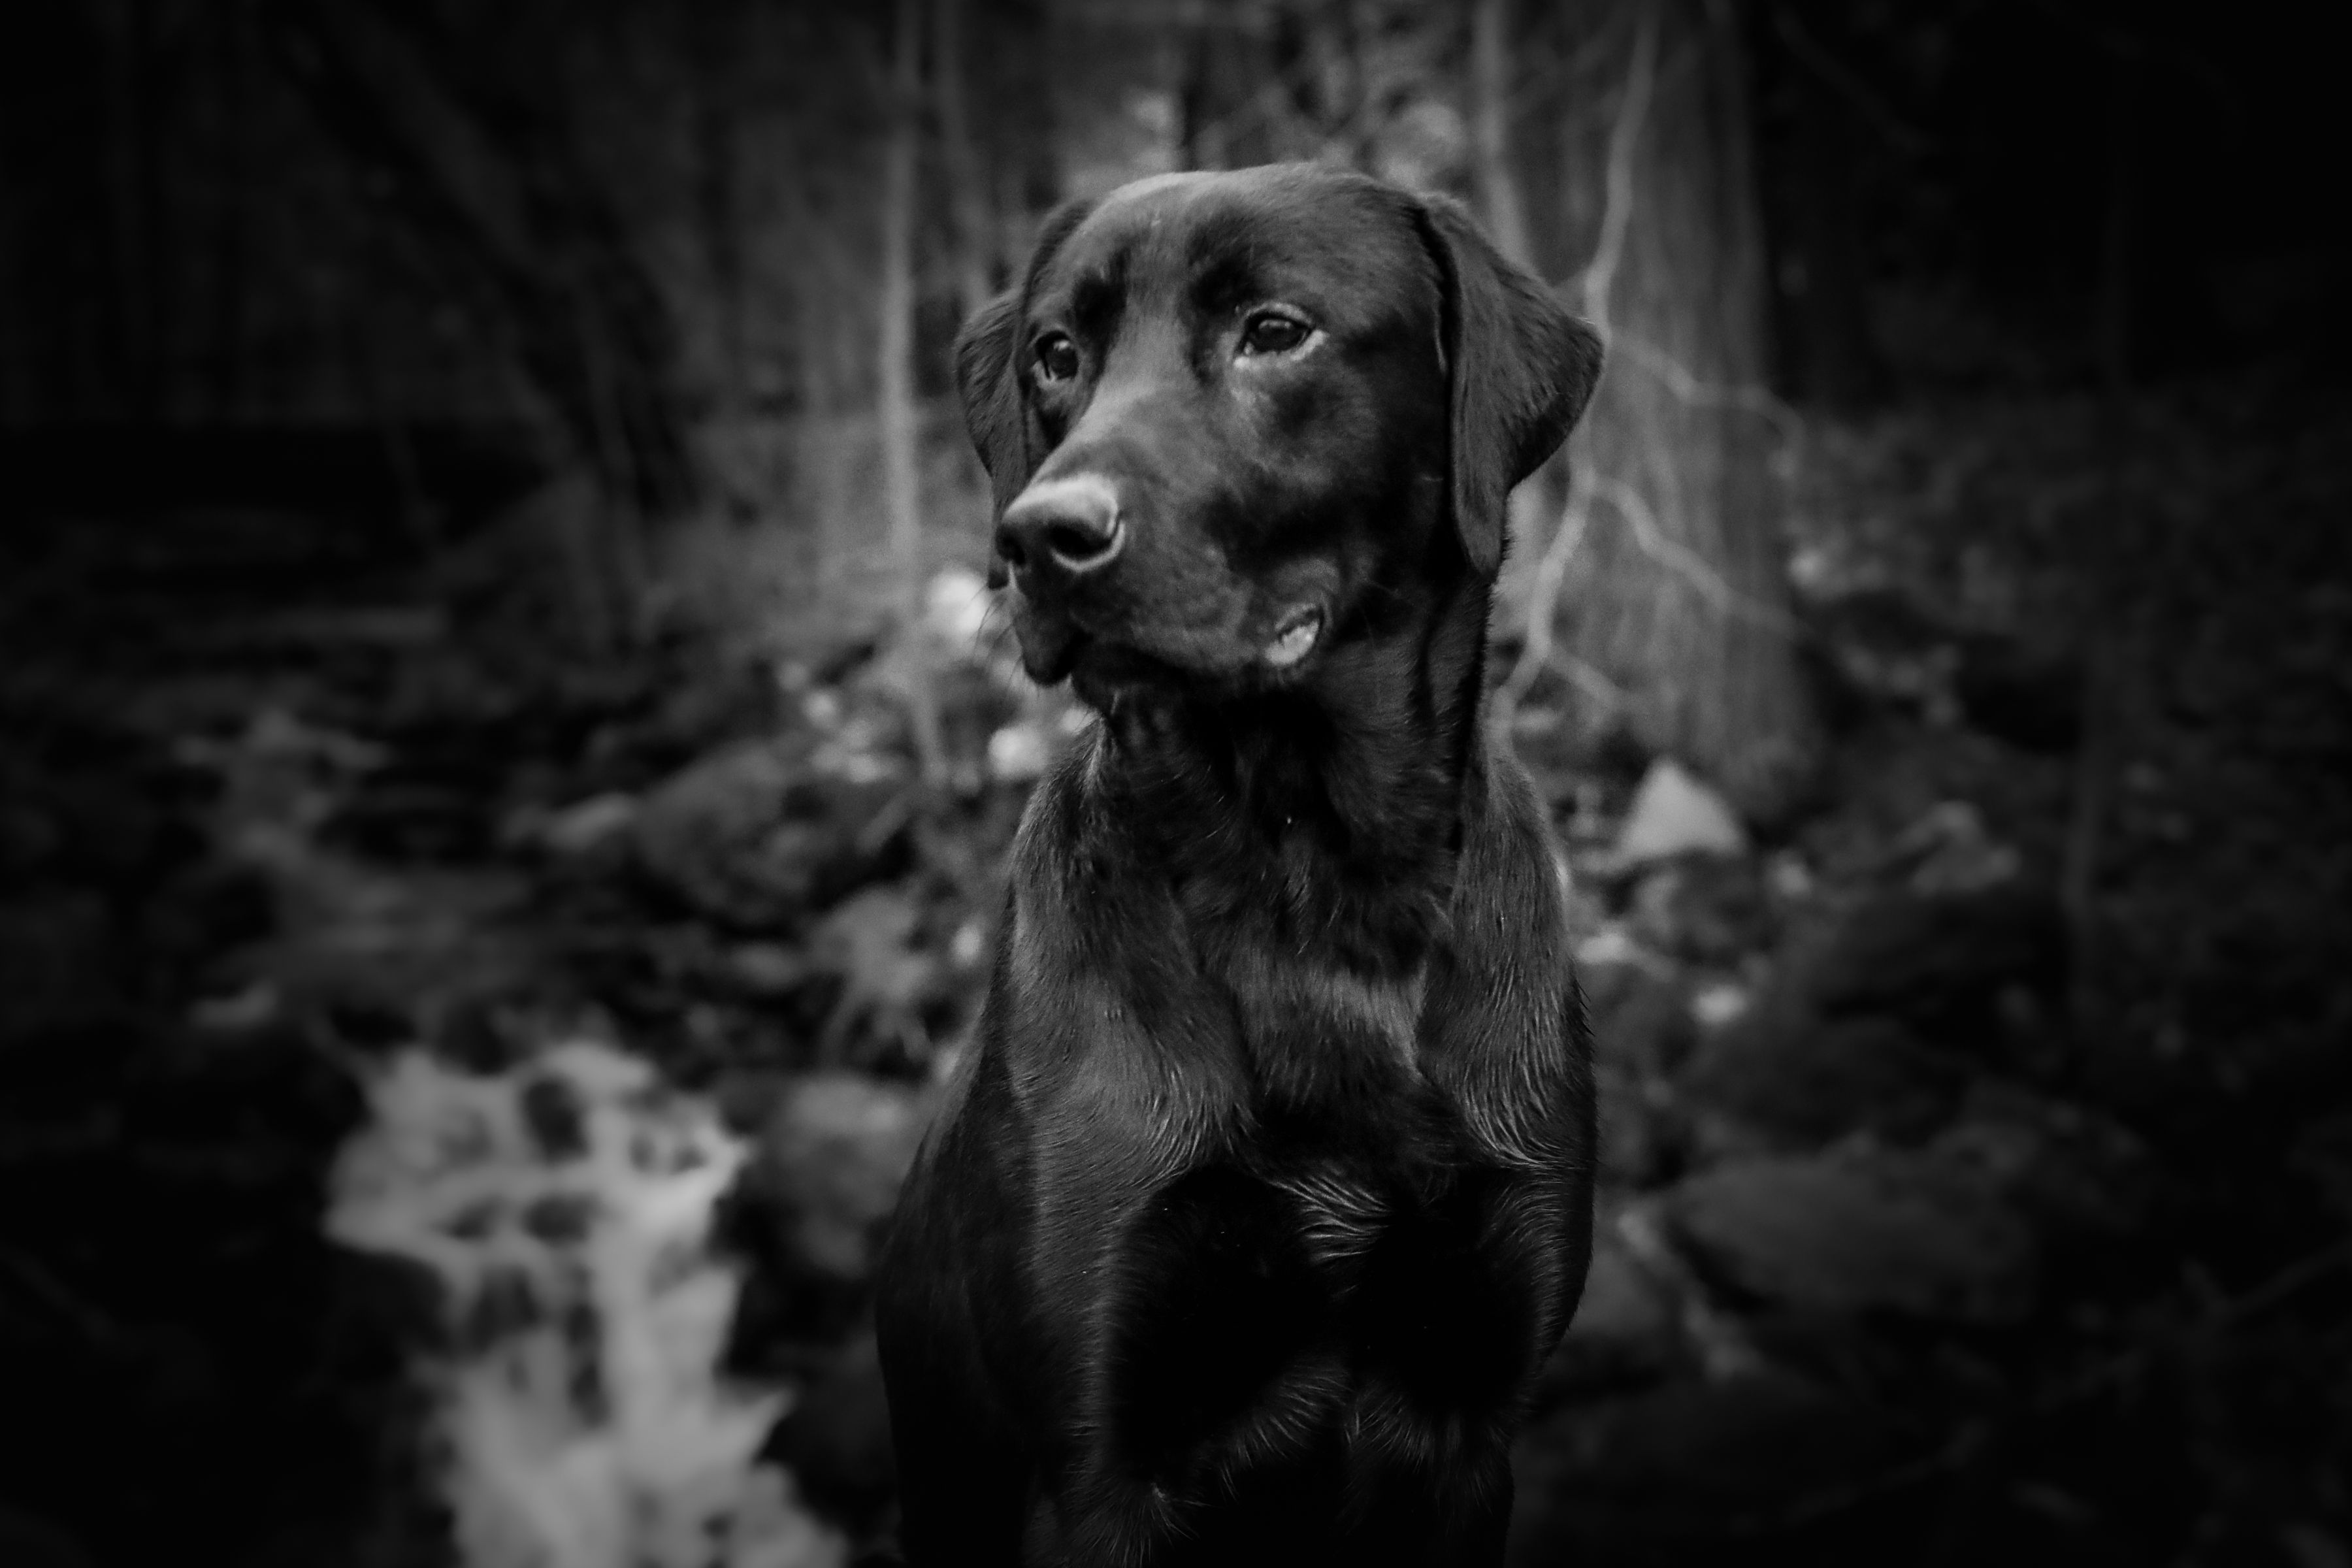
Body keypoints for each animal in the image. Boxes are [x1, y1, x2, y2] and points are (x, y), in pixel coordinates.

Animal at [875, 165, 1609, 1561]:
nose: (1040, 536)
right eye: (1057, 354)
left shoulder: (1468, 1418)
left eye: (1276, 332)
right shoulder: (1099, 1467)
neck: (1311, 880)